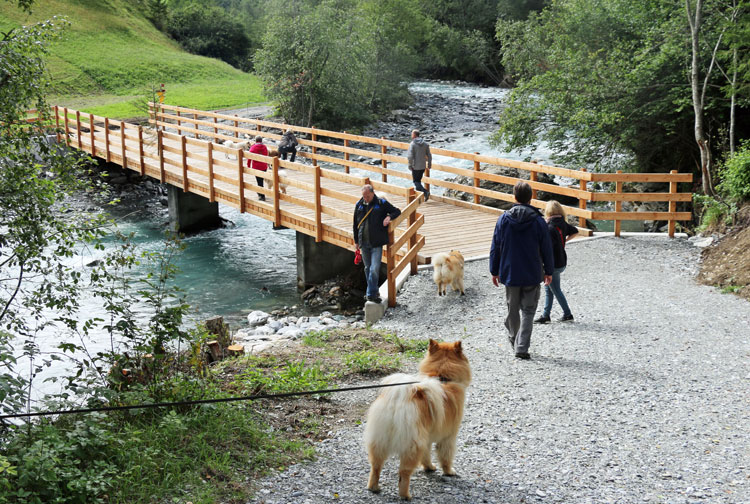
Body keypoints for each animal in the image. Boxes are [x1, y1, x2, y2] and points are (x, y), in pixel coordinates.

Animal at [362, 338, 470, 500]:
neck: (441, 376)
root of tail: (400, 397)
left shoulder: (427, 437)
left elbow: (426, 456)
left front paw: (429, 468)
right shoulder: (449, 436)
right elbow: (445, 456)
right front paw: (449, 471)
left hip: (380, 441)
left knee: (376, 466)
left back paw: (374, 487)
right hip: (412, 446)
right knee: (404, 473)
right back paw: (406, 495)